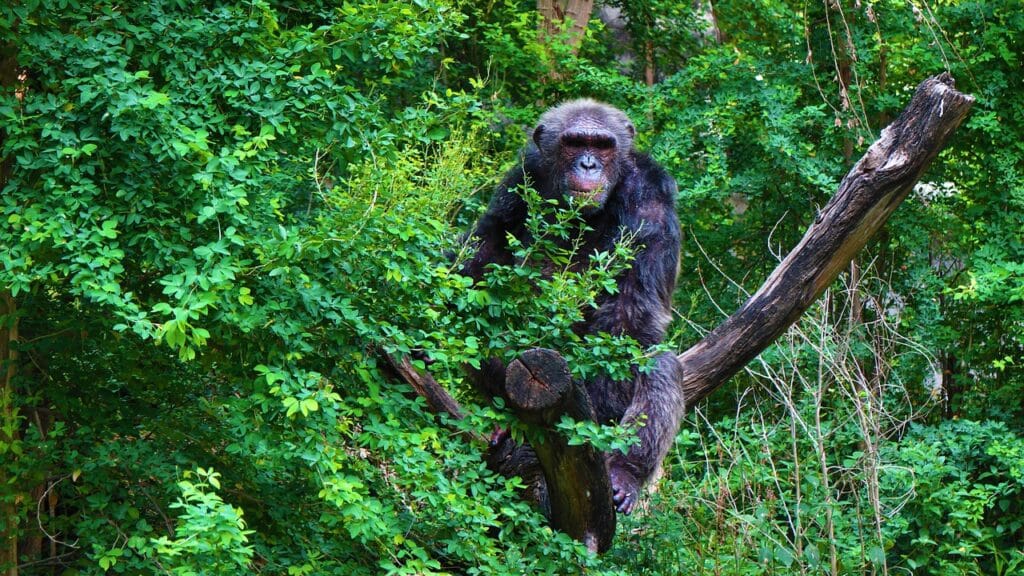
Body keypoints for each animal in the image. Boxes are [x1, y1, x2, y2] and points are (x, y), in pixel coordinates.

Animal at [466, 97, 688, 510]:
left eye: (602, 145)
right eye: (574, 143)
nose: (588, 164)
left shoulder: (650, 201)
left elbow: (629, 316)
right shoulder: (520, 178)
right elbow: (485, 254)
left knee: (657, 362)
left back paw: (623, 475)